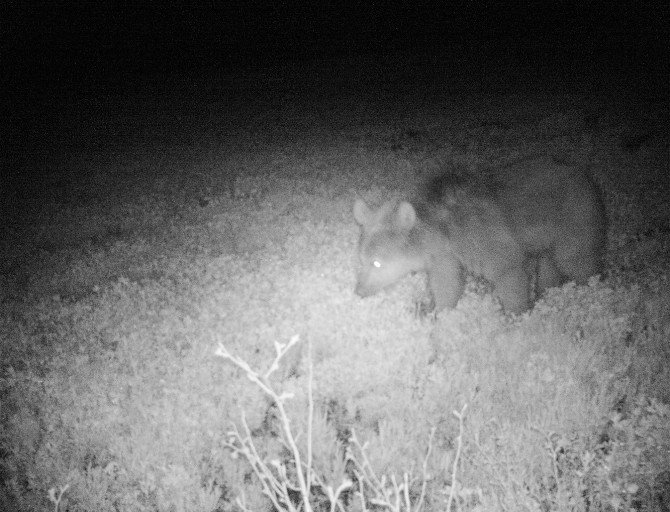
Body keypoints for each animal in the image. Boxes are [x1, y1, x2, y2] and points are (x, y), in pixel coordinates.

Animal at [354, 156, 608, 314]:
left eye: (377, 263)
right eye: (361, 260)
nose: (358, 292)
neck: (441, 231)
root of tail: (587, 177)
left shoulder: (484, 241)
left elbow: (510, 277)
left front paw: (516, 315)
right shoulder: (445, 256)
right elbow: (447, 284)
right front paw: (439, 313)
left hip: (573, 224)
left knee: (578, 262)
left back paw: (592, 294)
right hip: (548, 239)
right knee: (549, 266)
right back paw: (547, 293)